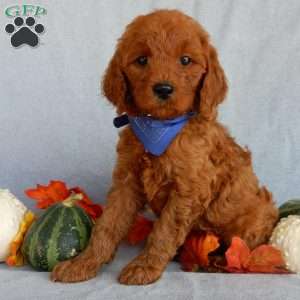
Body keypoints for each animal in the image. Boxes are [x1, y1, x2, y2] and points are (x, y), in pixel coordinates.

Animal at [51, 8, 278, 286]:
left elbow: (164, 231)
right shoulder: (126, 182)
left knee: (245, 249)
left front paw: (144, 267)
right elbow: (108, 224)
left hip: (251, 225)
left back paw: (218, 262)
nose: (163, 88)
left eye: (185, 60)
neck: (160, 127)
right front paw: (83, 263)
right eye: (141, 60)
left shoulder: (188, 190)